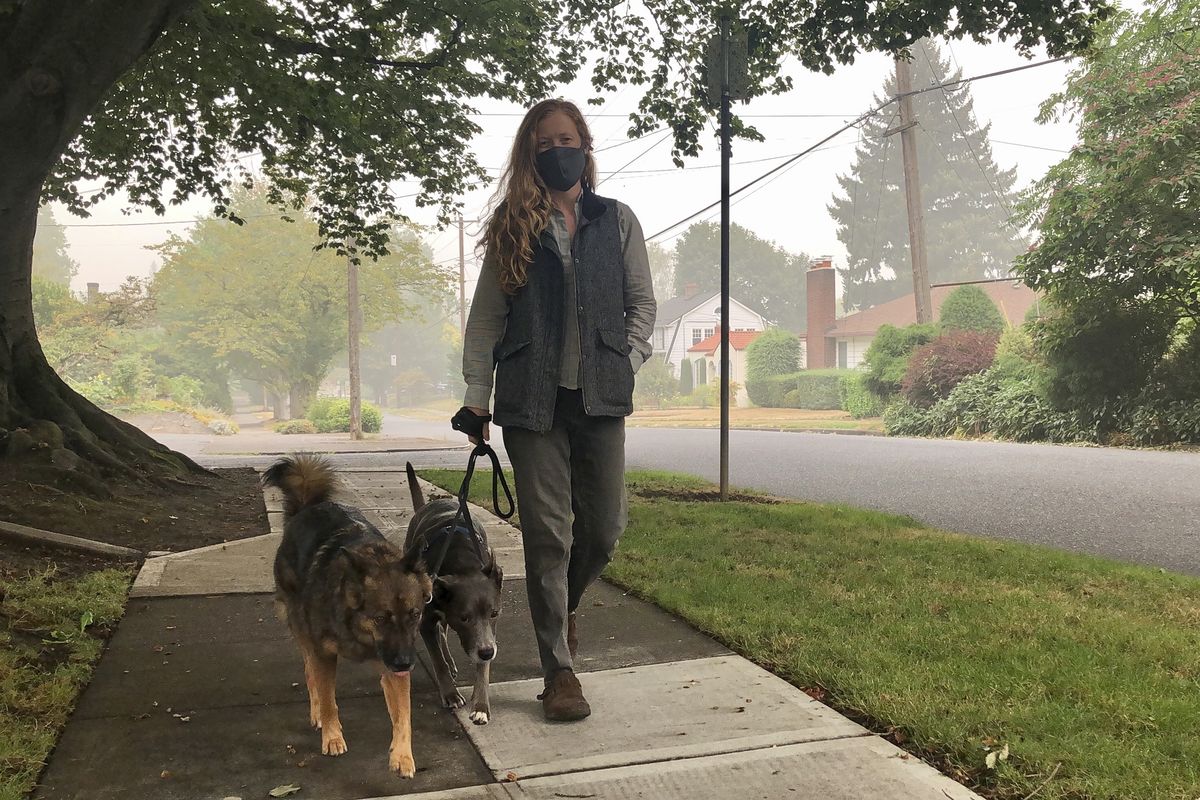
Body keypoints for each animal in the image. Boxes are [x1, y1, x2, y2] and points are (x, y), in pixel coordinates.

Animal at [265, 455, 434, 777]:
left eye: (415, 614)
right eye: (381, 618)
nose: (406, 662)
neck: (358, 630)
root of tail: (306, 508)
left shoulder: (394, 666)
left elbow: (403, 715)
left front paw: (403, 755)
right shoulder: (324, 654)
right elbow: (329, 698)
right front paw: (332, 736)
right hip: (302, 628)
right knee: (310, 673)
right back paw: (317, 712)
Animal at [405, 462, 504, 724]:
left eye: (494, 614)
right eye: (464, 617)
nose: (488, 652)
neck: (462, 564)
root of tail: (428, 505)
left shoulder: (487, 633)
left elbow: (483, 670)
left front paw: (480, 706)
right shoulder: (427, 621)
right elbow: (437, 661)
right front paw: (450, 695)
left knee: (444, 631)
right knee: (440, 633)